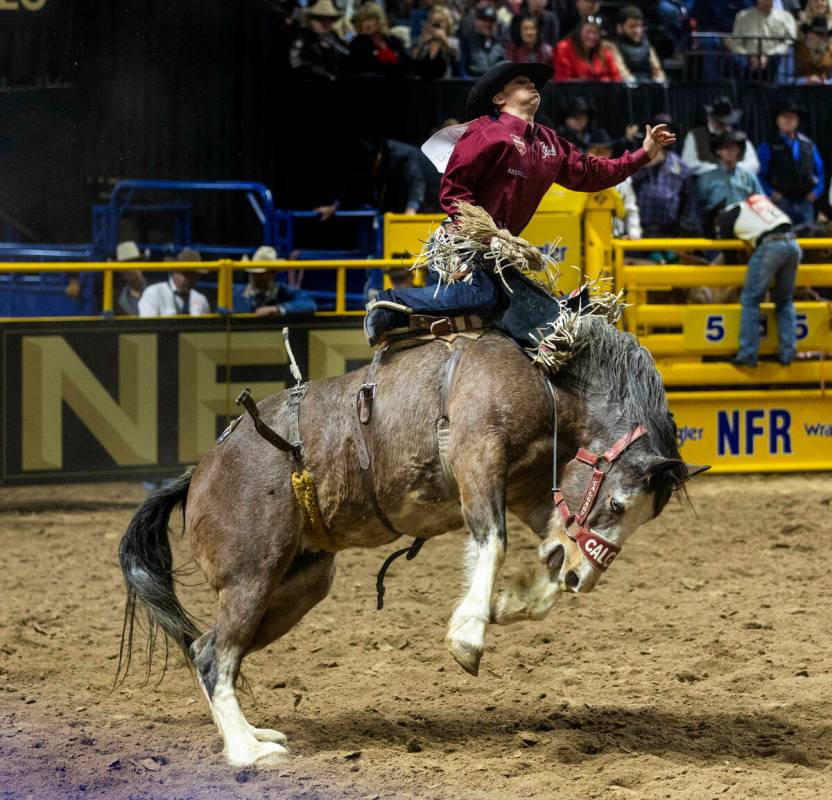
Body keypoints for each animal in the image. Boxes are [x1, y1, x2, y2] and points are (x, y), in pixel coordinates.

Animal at [115, 314, 704, 768]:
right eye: (619, 504)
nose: (586, 577)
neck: (544, 376)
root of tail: (197, 474)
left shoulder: (533, 488)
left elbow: (546, 557)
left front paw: (510, 604)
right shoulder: (478, 457)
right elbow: (493, 541)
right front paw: (468, 635)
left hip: (295, 588)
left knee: (207, 650)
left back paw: (255, 734)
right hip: (249, 580)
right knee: (215, 657)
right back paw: (248, 752)